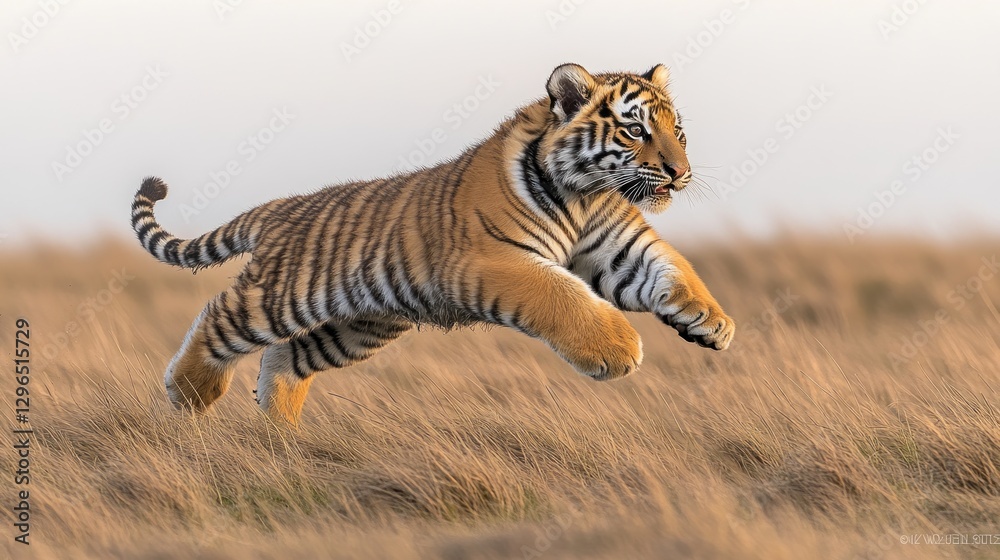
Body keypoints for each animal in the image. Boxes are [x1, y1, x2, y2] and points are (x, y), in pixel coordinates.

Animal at [131, 63, 735, 425]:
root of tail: (279, 206)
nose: (680, 173)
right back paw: (190, 395)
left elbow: (672, 269)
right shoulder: (494, 259)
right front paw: (618, 349)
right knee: (219, 317)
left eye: (678, 131)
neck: (585, 195)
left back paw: (280, 430)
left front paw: (714, 324)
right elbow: (562, 296)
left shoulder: (618, 247)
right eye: (635, 131)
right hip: (285, 295)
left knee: (284, 357)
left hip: (360, 325)